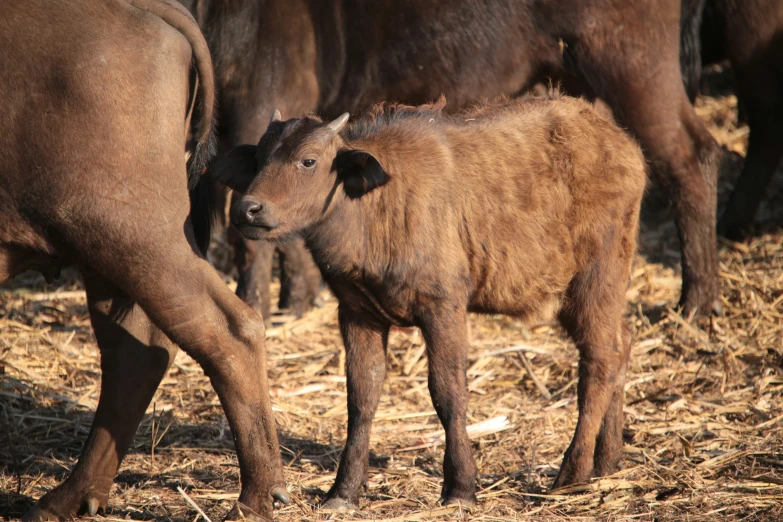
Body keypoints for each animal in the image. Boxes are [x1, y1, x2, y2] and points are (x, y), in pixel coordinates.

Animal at [2, 1, 284, 520]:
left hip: (131, 234)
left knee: (227, 330)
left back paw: (255, 499)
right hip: (108, 254)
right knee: (135, 352)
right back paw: (66, 497)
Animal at [178, 0, 724, 316]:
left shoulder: (261, 100)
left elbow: (250, 232)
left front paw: (253, 306)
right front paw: (297, 298)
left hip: (632, 64)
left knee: (692, 157)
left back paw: (697, 302)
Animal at [217, 94, 648, 508]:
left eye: (308, 160)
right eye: (259, 158)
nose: (248, 209)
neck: (376, 206)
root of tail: (623, 144)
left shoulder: (444, 308)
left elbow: (448, 393)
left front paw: (460, 487)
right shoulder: (357, 312)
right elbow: (361, 398)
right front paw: (343, 491)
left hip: (597, 278)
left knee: (599, 361)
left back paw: (571, 473)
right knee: (622, 343)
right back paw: (607, 461)